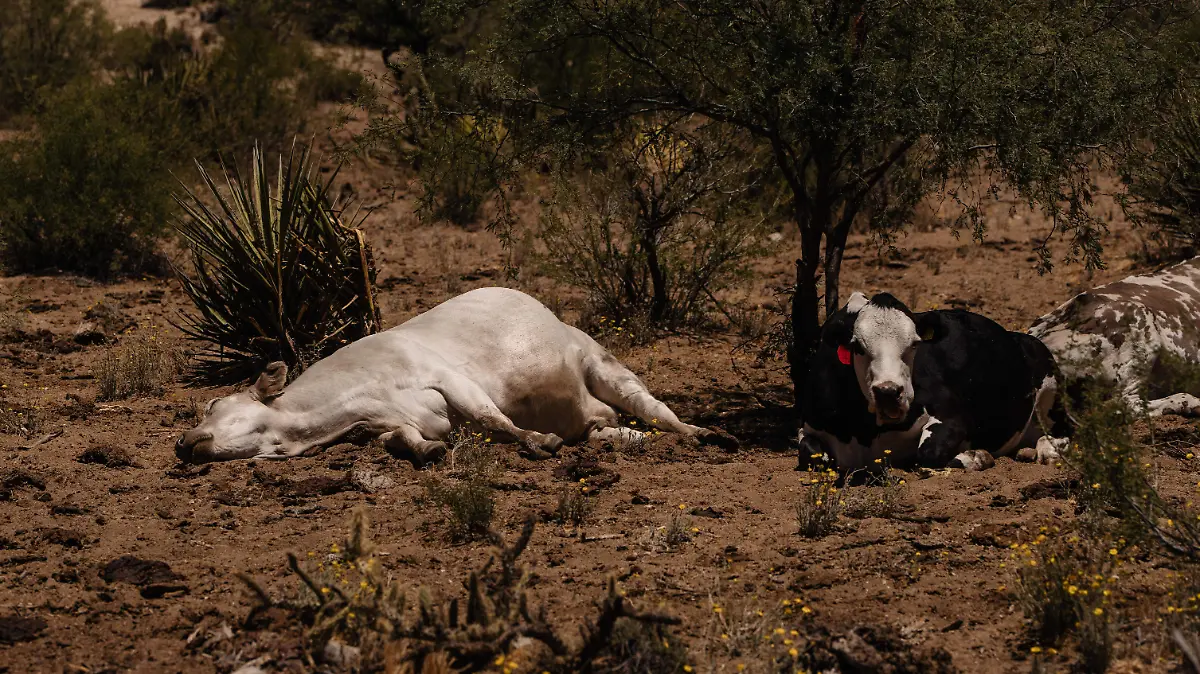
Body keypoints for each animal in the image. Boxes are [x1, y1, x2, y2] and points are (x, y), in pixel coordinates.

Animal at [174, 287, 738, 465]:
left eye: (214, 404)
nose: (182, 443)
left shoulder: (451, 381)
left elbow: (494, 420)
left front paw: (539, 441)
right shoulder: (384, 423)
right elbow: (401, 440)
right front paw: (428, 450)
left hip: (605, 365)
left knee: (657, 412)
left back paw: (707, 434)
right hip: (598, 415)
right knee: (619, 430)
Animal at [796, 292, 1067, 473]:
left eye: (915, 344)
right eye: (857, 346)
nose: (889, 392)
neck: (867, 431)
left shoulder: (952, 415)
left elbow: (928, 454)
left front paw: (977, 456)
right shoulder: (809, 425)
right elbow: (810, 453)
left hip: (1050, 386)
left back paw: (1051, 449)